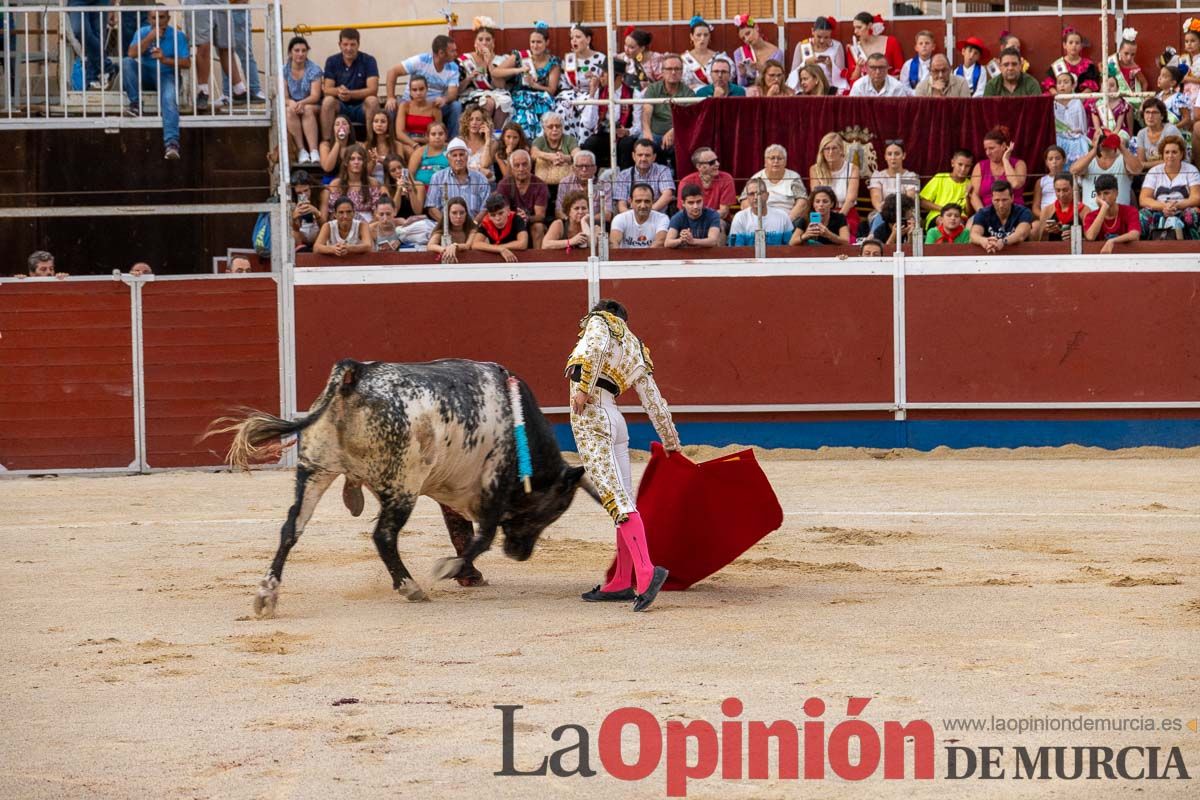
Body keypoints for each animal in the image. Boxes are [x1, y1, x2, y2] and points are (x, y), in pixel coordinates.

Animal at [216, 359, 595, 618]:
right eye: (553, 509)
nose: (520, 554)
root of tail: (355, 374)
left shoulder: (454, 489)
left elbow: (461, 530)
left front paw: (468, 574)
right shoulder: (493, 485)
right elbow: (481, 537)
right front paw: (450, 569)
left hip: (314, 470)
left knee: (291, 529)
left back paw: (266, 595)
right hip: (402, 487)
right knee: (383, 536)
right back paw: (411, 587)